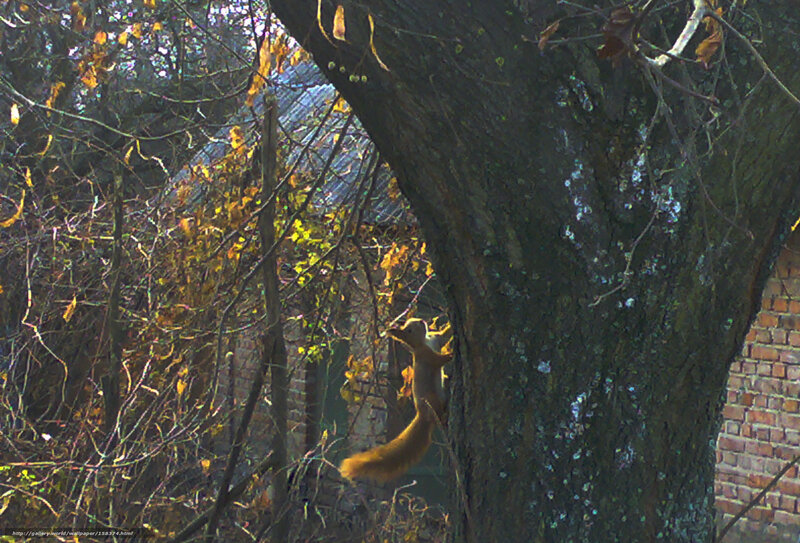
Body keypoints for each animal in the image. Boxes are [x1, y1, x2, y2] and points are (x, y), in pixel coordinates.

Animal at [339, 318, 452, 482]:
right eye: (409, 330)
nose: (421, 321)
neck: (424, 341)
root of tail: (422, 415)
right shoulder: (425, 355)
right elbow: (438, 360)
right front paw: (451, 354)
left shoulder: (435, 340)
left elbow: (444, 336)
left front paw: (450, 327)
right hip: (431, 399)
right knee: (437, 414)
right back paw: (443, 417)